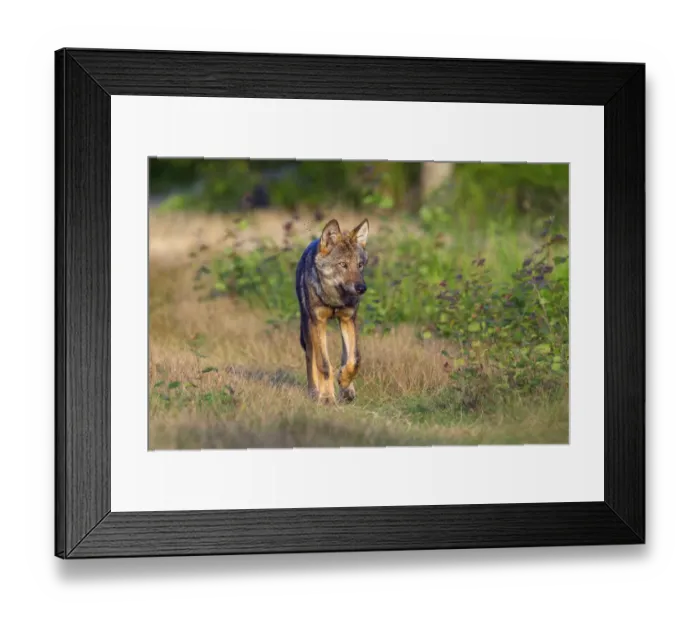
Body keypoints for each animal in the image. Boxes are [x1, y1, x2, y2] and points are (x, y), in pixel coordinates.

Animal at [295, 218, 370, 404]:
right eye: (343, 265)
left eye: (359, 265)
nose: (362, 288)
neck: (335, 300)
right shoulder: (318, 322)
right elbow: (324, 364)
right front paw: (327, 397)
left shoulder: (348, 319)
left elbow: (355, 359)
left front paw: (344, 381)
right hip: (307, 328)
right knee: (310, 358)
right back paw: (314, 392)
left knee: (345, 356)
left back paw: (347, 390)